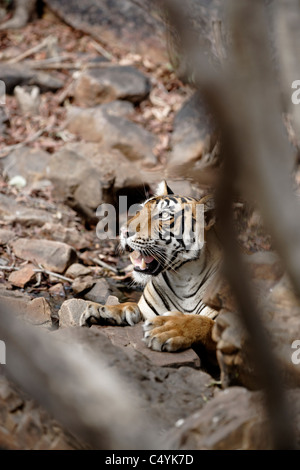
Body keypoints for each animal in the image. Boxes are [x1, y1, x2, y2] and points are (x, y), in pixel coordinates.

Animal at [81, 180, 221, 352]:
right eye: (140, 210)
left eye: (164, 215)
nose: (122, 231)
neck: (184, 278)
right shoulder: (147, 310)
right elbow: (129, 305)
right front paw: (102, 310)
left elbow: (202, 322)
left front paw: (169, 328)